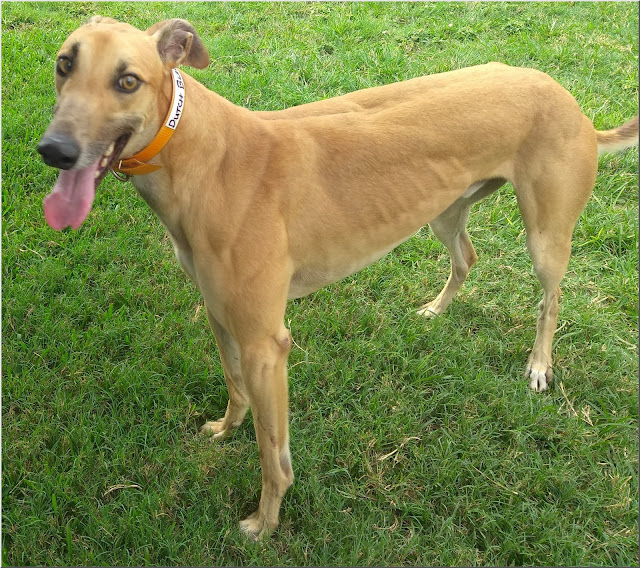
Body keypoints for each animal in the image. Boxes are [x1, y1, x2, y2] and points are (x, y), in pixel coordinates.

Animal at [37, 17, 638, 539]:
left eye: (128, 80)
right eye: (64, 63)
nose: (54, 150)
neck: (208, 157)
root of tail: (567, 98)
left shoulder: (267, 344)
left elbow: (273, 453)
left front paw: (265, 524)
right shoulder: (221, 314)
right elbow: (234, 387)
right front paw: (226, 430)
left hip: (546, 235)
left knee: (550, 300)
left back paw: (539, 365)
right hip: (445, 210)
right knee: (466, 257)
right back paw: (436, 310)